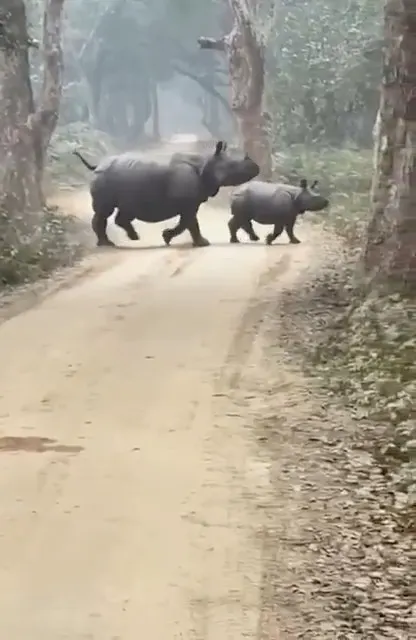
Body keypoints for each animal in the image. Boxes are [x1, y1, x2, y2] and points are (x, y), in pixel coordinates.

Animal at [73, 141, 259, 247]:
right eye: (234, 166)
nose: (256, 167)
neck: (207, 162)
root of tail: (97, 165)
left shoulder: (191, 202)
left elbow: (187, 223)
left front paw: (167, 237)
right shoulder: (187, 202)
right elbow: (190, 223)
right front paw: (201, 244)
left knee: (124, 209)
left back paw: (132, 237)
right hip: (104, 178)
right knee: (104, 211)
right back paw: (107, 244)